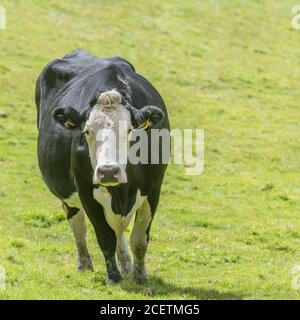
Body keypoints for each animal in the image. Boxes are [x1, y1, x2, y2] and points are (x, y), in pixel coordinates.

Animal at [35, 48, 169, 284]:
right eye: (86, 130)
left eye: (129, 130)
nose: (108, 172)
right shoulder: (86, 191)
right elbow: (105, 238)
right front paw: (113, 277)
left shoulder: (153, 189)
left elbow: (139, 240)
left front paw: (140, 276)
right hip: (68, 195)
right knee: (78, 226)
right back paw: (84, 264)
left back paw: (126, 264)